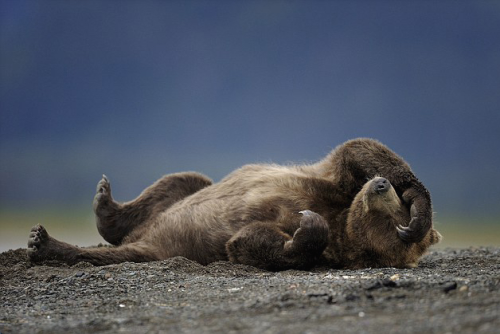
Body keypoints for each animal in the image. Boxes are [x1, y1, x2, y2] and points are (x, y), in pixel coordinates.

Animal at [27, 138, 442, 272]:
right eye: (395, 211)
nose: (381, 187)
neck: (342, 217)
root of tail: (145, 236)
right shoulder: (331, 183)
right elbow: (358, 151)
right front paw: (418, 208)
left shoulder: (333, 243)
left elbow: (247, 243)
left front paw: (307, 227)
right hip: (184, 195)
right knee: (184, 179)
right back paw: (104, 201)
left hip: (162, 248)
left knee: (118, 254)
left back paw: (43, 242)